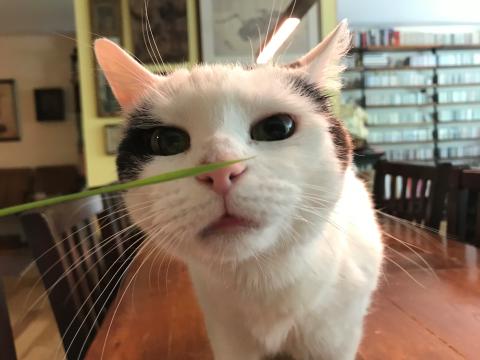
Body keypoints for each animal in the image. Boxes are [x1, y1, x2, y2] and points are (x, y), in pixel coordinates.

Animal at [94, 20, 382, 360]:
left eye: (277, 128)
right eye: (167, 142)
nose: (219, 170)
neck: (261, 279)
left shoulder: (333, 339)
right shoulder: (226, 334)